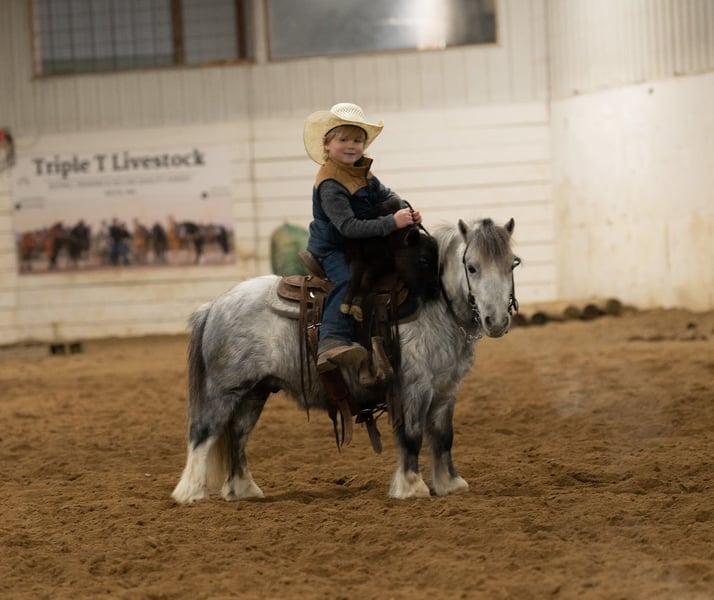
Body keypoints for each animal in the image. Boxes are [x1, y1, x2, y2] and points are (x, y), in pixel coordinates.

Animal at [172, 217, 520, 503]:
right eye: (472, 266)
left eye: (512, 265)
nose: (496, 321)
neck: (434, 303)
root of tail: (214, 305)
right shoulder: (414, 388)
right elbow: (412, 436)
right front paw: (411, 487)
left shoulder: (446, 391)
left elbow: (444, 437)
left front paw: (450, 484)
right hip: (224, 390)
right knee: (203, 432)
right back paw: (190, 493)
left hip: (254, 392)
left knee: (237, 435)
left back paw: (243, 489)